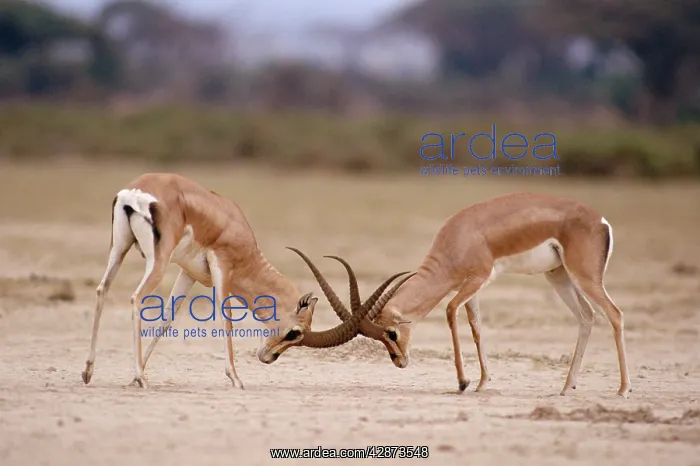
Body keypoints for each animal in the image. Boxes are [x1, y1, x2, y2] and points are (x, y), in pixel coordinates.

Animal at [81, 173, 411, 389]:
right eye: (295, 333)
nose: (268, 357)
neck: (234, 225)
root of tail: (136, 193)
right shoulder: (222, 269)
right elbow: (225, 318)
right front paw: (236, 379)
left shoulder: (189, 273)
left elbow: (167, 317)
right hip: (157, 262)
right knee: (136, 298)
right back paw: (138, 377)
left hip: (119, 248)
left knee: (102, 290)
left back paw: (89, 372)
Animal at [297, 192, 632, 398]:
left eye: (391, 333)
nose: (399, 362)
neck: (459, 238)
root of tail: (601, 221)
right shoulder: (473, 288)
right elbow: (476, 326)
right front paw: (482, 383)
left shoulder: (476, 280)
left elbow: (449, 312)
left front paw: (462, 382)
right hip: (559, 275)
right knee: (587, 316)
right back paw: (566, 388)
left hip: (583, 276)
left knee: (615, 314)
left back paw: (622, 389)